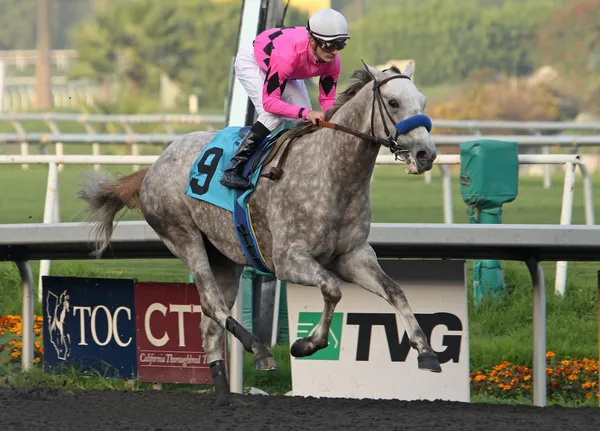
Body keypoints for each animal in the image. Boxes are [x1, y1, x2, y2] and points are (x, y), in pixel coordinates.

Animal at [77, 62, 438, 406]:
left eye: (422, 101)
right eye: (393, 102)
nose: (426, 154)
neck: (333, 173)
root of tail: (153, 166)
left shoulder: (353, 256)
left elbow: (395, 291)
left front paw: (427, 352)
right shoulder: (288, 260)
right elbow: (332, 288)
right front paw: (307, 344)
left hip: (224, 258)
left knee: (208, 323)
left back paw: (225, 393)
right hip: (183, 237)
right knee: (212, 304)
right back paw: (260, 350)